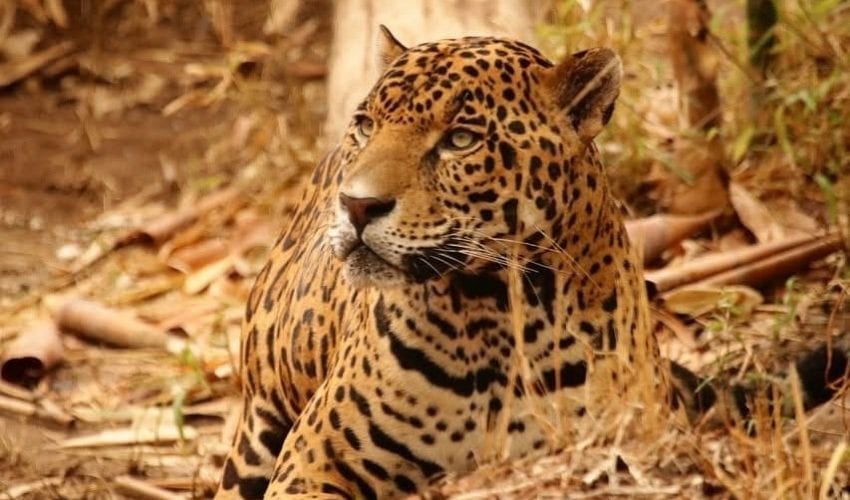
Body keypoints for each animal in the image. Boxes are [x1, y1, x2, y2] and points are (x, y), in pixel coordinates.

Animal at [215, 27, 849, 499]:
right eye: (366, 125)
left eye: (461, 140)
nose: (355, 204)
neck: (489, 312)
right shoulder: (313, 456)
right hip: (259, 425)